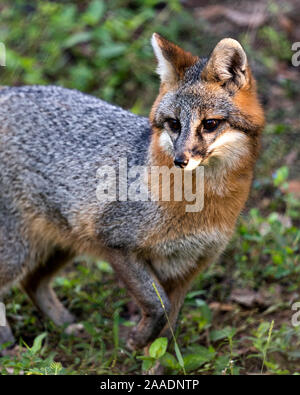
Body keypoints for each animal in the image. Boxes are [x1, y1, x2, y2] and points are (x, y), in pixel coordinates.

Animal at [0, 33, 262, 350]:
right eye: (174, 124)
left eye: (210, 124)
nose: (180, 160)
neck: (200, 205)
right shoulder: (115, 243)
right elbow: (158, 305)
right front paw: (136, 341)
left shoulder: (190, 267)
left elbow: (170, 324)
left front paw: (152, 356)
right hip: (18, 251)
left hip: (58, 246)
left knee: (32, 283)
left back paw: (67, 327)